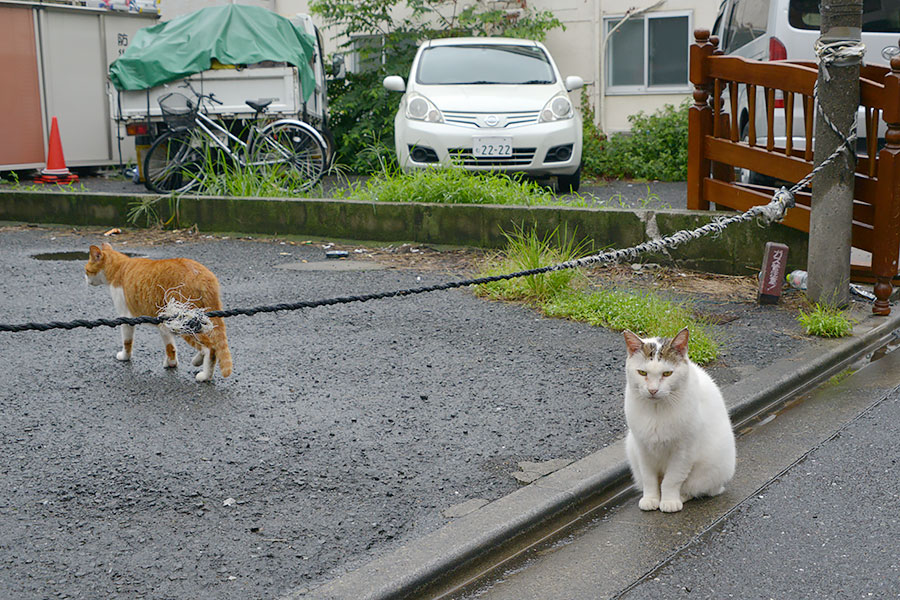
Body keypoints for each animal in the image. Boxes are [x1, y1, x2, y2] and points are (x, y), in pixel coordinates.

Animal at [84, 243, 232, 380]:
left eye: (86, 271)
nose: (85, 279)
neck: (119, 267)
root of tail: (203, 276)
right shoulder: (163, 323)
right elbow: (170, 347)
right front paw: (172, 363)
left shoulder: (126, 318)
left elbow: (127, 342)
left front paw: (125, 356)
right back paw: (198, 361)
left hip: (184, 321)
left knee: (211, 348)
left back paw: (205, 376)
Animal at [624, 328, 736, 510]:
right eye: (642, 373)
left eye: (667, 373)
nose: (653, 390)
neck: (657, 411)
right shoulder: (642, 448)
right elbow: (649, 478)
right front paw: (651, 498)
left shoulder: (683, 451)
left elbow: (672, 480)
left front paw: (669, 501)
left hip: (710, 469)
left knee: (697, 489)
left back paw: (681, 496)